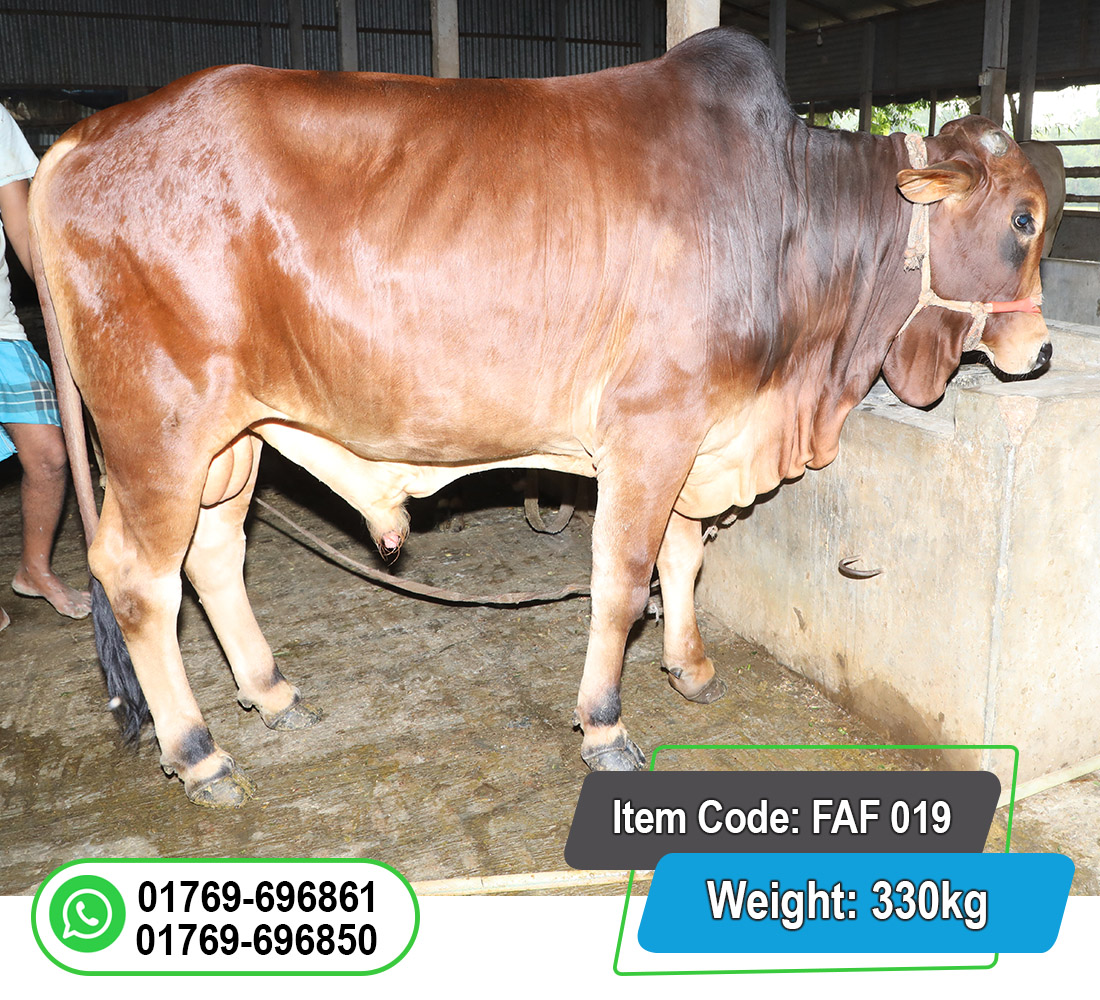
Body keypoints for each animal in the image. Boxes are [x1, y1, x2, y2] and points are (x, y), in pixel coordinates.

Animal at [29, 28, 1050, 807]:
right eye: (1026, 220)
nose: (1039, 351)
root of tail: (78, 139)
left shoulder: (694, 432)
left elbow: (683, 556)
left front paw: (691, 669)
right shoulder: (650, 425)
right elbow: (623, 580)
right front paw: (605, 726)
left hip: (232, 441)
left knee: (214, 554)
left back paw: (272, 693)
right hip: (159, 431)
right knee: (140, 581)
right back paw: (200, 753)